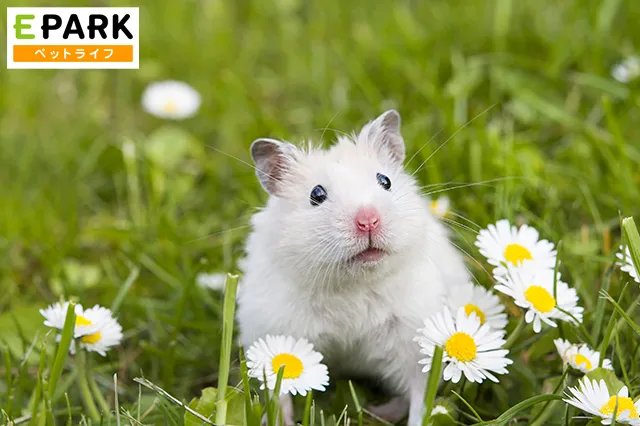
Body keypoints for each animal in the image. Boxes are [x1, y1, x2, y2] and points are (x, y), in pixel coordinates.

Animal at [235, 110, 470, 426]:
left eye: (385, 181)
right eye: (316, 194)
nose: (368, 220)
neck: (352, 283)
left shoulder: (414, 341)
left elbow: (420, 395)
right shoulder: (274, 332)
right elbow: (279, 390)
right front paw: (281, 421)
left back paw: (376, 411)